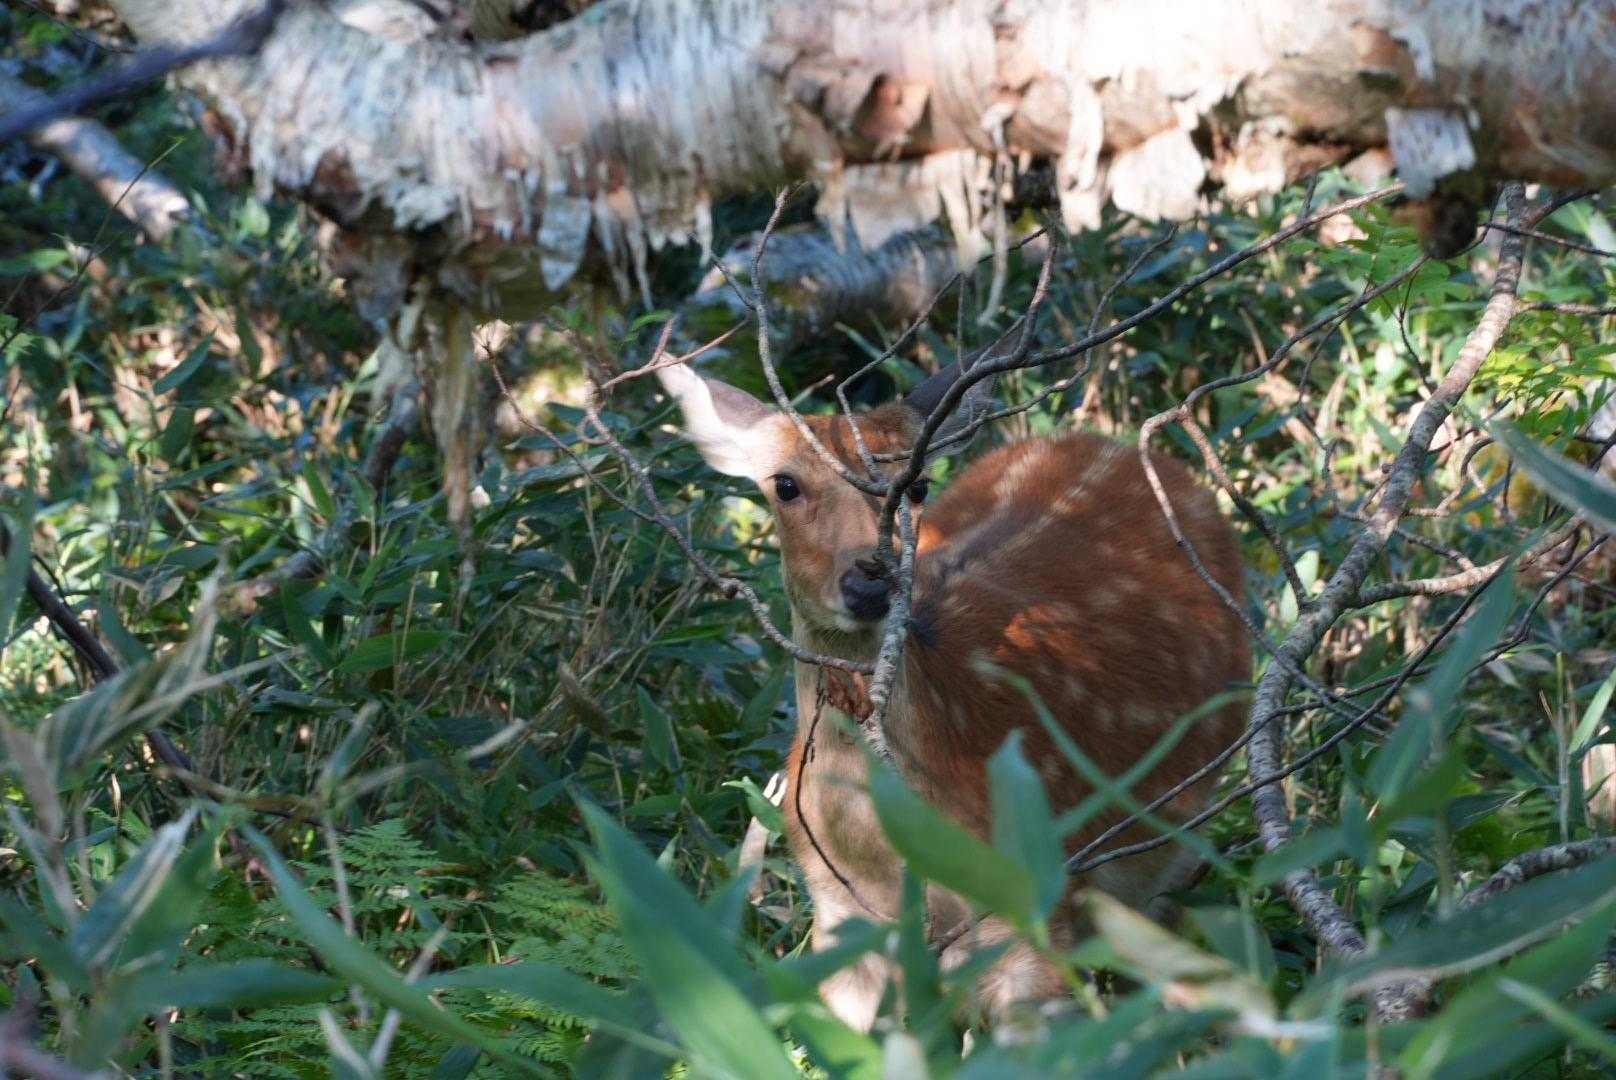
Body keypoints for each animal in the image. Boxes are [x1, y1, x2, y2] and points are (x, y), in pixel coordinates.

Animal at [656, 355, 1249, 1032]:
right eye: (784, 484)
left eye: (915, 485)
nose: (869, 579)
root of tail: (1119, 447)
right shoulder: (841, 928)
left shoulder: (1040, 913)